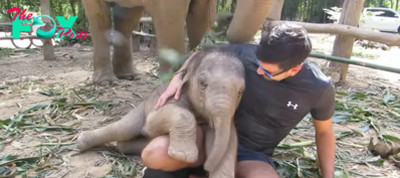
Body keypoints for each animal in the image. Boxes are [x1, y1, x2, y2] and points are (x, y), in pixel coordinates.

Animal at [74, 46, 244, 177]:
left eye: (241, 91)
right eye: (202, 83)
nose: (205, 167)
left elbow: (229, 140)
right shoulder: (171, 96)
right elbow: (153, 122)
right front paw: (183, 156)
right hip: (141, 109)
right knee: (123, 128)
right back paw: (81, 142)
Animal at [81, 0, 276, 85]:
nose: (227, 16)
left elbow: (200, 14)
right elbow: (170, 14)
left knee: (128, 17)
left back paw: (129, 76)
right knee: (99, 18)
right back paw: (106, 82)